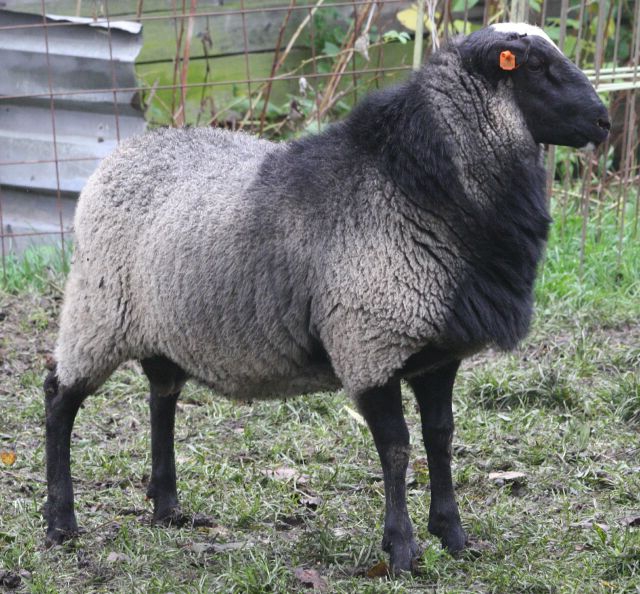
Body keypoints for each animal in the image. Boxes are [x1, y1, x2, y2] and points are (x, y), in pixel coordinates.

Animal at [43, 23, 610, 573]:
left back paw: (167, 509)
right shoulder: (370, 344)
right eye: (536, 66)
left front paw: (452, 536)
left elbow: (441, 437)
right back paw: (60, 524)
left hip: (161, 326)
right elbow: (397, 449)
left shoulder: (435, 354)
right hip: (97, 311)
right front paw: (401, 552)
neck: (417, 186)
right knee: (58, 398)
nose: (604, 121)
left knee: (162, 397)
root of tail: (120, 155)